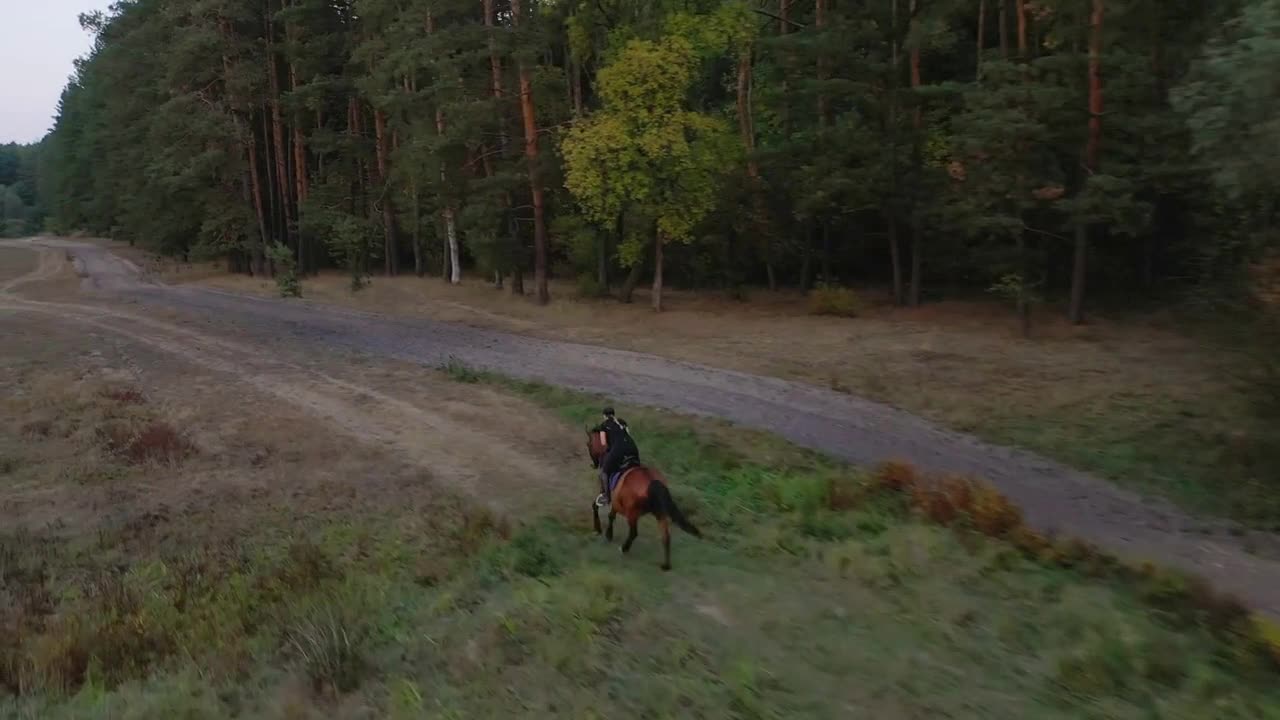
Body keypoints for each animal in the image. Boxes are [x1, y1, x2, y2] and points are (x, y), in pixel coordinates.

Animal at [586, 427, 701, 568]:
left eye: (588, 444)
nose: (594, 464)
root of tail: (653, 482)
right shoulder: (616, 501)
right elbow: (611, 515)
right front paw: (608, 534)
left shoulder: (609, 496)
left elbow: (598, 507)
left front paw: (599, 530)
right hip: (660, 513)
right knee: (666, 536)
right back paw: (666, 565)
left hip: (632, 514)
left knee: (634, 532)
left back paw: (624, 548)